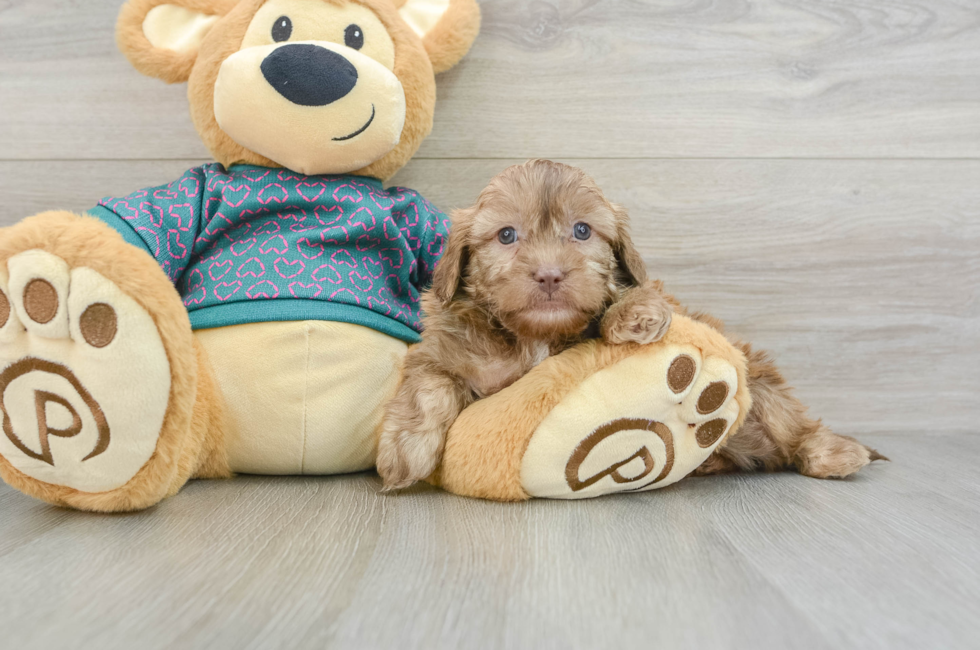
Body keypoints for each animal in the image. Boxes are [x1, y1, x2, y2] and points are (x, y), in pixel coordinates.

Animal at [374, 159, 880, 488]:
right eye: (506, 235)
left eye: (582, 231)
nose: (550, 274)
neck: (536, 337)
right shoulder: (444, 350)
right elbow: (429, 385)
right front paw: (405, 451)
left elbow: (637, 294)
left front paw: (632, 313)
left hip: (763, 388)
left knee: (791, 425)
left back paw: (832, 452)